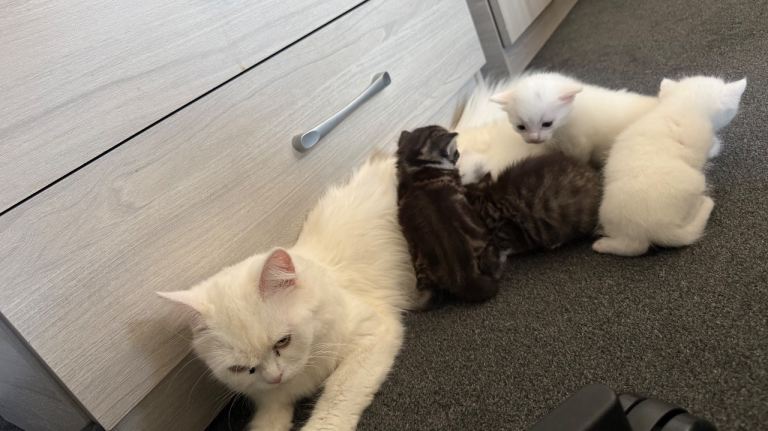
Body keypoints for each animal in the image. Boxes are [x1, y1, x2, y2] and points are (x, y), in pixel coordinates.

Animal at [157, 153, 426, 431]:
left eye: (283, 342)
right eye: (241, 369)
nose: (275, 377)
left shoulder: (373, 334)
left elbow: (335, 400)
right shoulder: (270, 397)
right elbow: (268, 421)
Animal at [593, 76, 747, 256]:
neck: (683, 105)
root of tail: (653, 228)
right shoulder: (701, 143)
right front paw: (716, 147)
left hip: (607, 213)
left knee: (633, 247)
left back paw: (601, 245)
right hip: (698, 181)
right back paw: (703, 202)